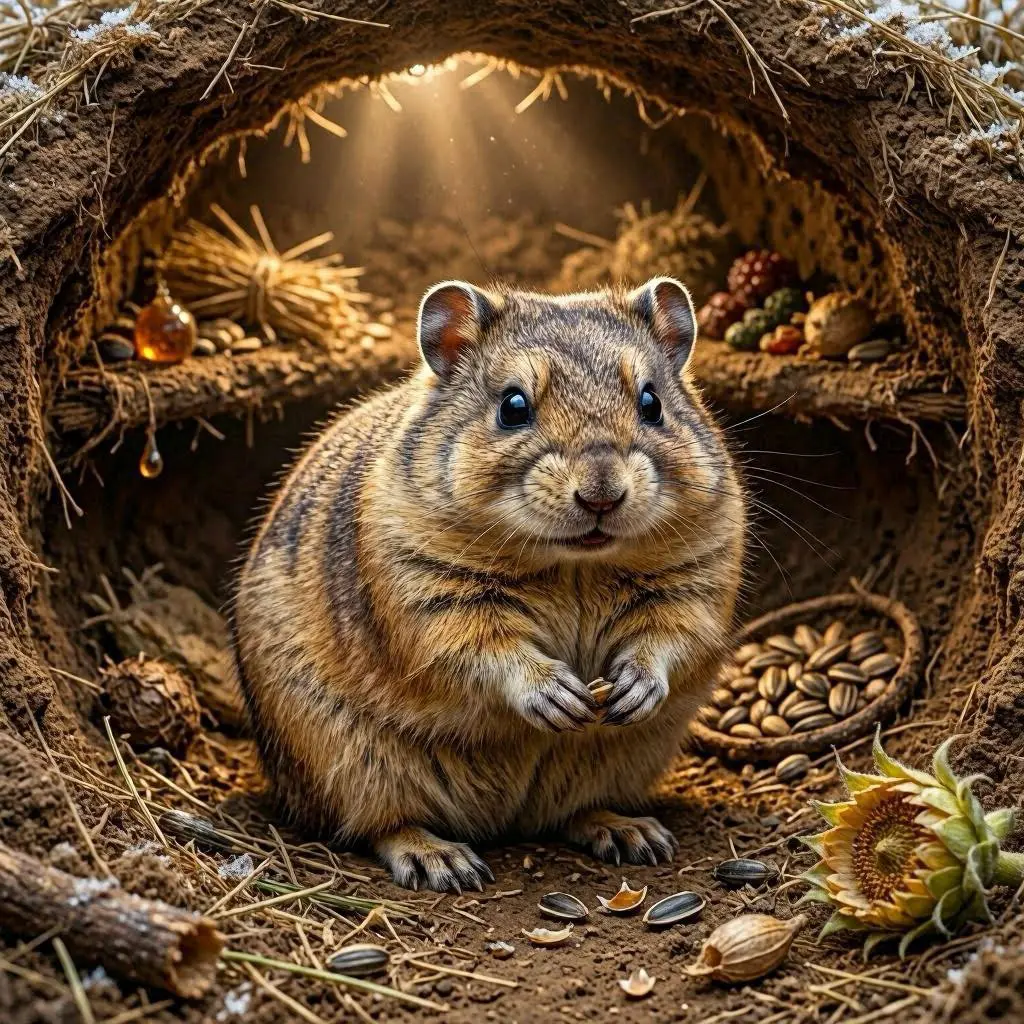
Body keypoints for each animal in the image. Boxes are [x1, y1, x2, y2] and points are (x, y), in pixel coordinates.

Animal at [232, 277, 746, 892]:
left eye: (652, 403)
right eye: (513, 406)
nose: (602, 494)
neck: (574, 564)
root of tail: (504, 819)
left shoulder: (696, 583)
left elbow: (671, 637)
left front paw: (634, 687)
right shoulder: (434, 602)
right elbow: (485, 651)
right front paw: (554, 693)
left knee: (571, 811)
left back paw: (627, 831)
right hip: (347, 764)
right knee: (380, 825)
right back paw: (441, 859)